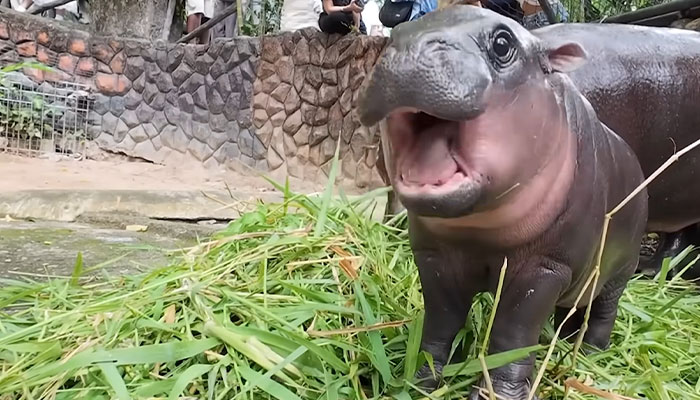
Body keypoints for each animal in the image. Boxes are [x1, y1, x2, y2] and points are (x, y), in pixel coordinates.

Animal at [358, 4, 648, 398]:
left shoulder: (546, 268)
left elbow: (513, 335)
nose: (409, 50)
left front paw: (496, 393)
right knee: (572, 310)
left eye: (502, 43)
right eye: (398, 32)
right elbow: (441, 322)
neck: (478, 231)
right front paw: (421, 382)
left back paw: (590, 357)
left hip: (620, 270)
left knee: (603, 312)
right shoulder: (434, 257)